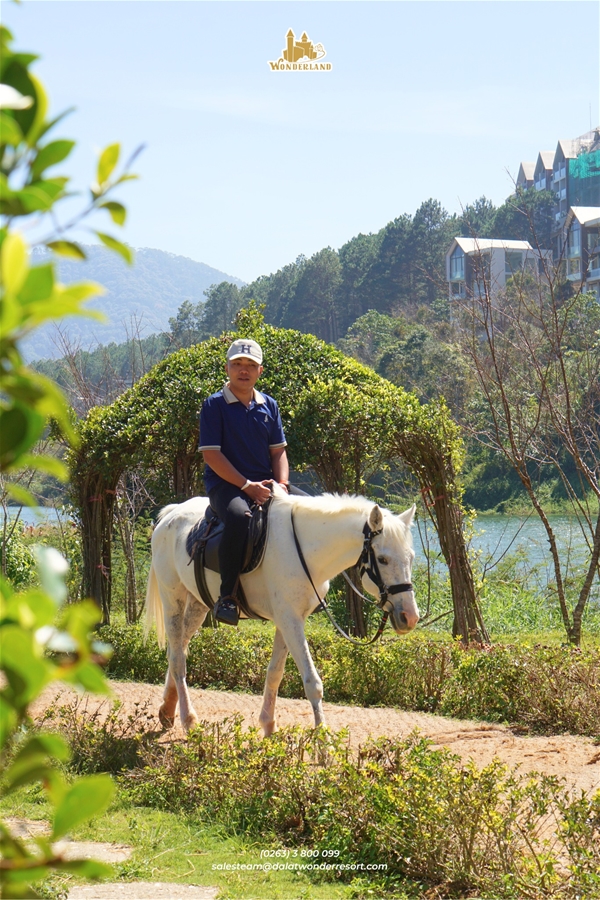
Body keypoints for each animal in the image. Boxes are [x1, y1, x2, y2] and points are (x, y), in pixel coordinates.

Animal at [144, 487, 419, 735]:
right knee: (178, 659)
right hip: (173, 599)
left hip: (198, 604)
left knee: (178, 649)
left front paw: (268, 726)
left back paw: (167, 710)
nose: (410, 617)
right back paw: (188, 720)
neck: (306, 549)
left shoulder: (288, 620)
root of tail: (170, 514)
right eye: (382, 559)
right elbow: (312, 682)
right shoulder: (290, 620)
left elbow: (275, 673)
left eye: (411, 558)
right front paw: (324, 743)